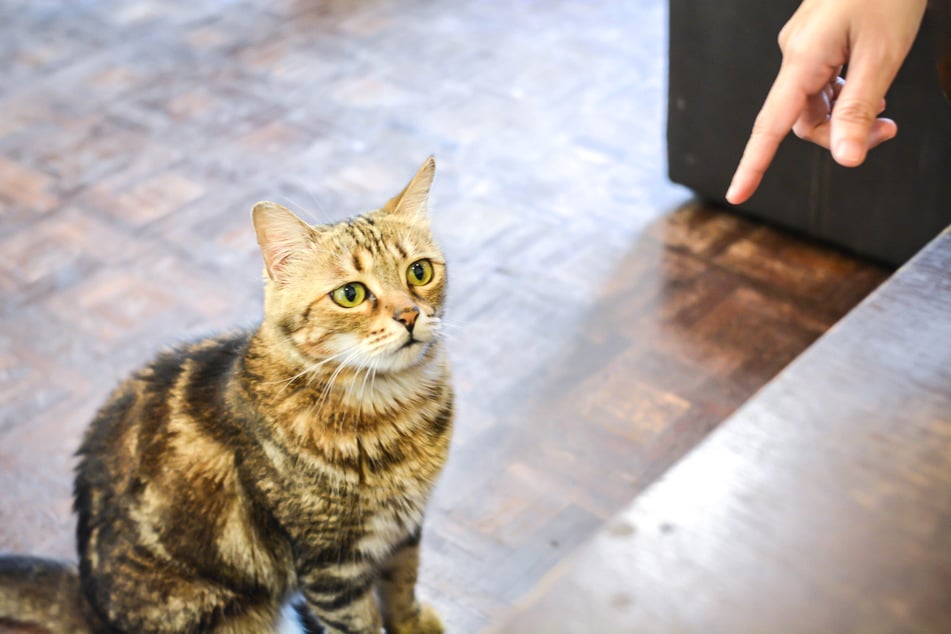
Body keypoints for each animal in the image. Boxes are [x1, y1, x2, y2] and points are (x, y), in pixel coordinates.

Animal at [0, 154, 454, 632]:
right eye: (350, 294)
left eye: (419, 271)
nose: (409, 315)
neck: (395, 406)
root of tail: (90, 604)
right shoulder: (332, 564)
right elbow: (360, 621)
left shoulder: (404, 530)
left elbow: (401, 587)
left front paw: (415, 621)